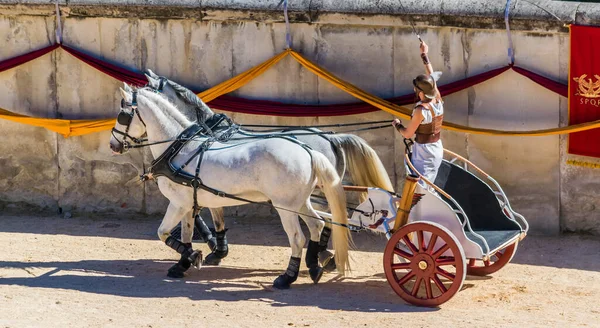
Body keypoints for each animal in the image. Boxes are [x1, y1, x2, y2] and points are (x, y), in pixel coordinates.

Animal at [109, 86, 352, 288]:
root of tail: (309, 151)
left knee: (298, 238)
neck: (180, 149)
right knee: (318, 225)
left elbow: (162, 233)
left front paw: (193, 257)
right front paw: (184, 262)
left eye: (122, 115)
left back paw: (287, 277)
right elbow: (187, 234)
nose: (113, 145)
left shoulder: (178, 203)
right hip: (300, 202)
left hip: (285, 207)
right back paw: (314, 266)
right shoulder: (189, 203)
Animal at [139, 73, 394, 270]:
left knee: (327, 219)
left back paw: (322, 256)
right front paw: (210, 248)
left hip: (313, 194)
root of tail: (331, 138)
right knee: (329, 219)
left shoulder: (206, 187)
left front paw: (213, 248)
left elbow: (212, 218)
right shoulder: (207, 188)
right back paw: (323, 256)